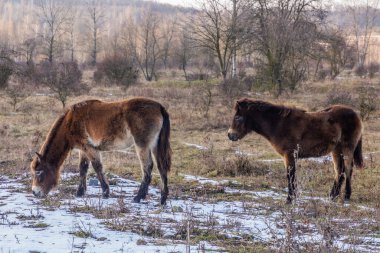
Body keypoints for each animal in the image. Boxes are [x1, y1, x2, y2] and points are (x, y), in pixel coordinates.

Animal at [29, 97, 172, 206]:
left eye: (40, 172)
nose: (35, 192)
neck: (71, 121)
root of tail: (159, 107)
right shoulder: (83, 150)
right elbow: (83, 169)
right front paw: (80, 193)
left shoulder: (90, 148)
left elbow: (97, 167)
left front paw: (105, 192)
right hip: (155, 146)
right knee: (161, 167)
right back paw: (163, 199)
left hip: (142, 146)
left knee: (147, 168)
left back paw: (138, 197)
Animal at [227, 98, 364, 203]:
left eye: (238, 117)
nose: (230, 135)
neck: (279, 124)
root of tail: (356, 114)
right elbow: (291, 176)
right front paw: (294, 197)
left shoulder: (289, 155)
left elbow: (290, 175)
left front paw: (289, 199)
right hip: (336, 150)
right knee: (339, 171)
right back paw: (332, 196)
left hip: (347, 148)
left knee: (348, 169)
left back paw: (346, 196)